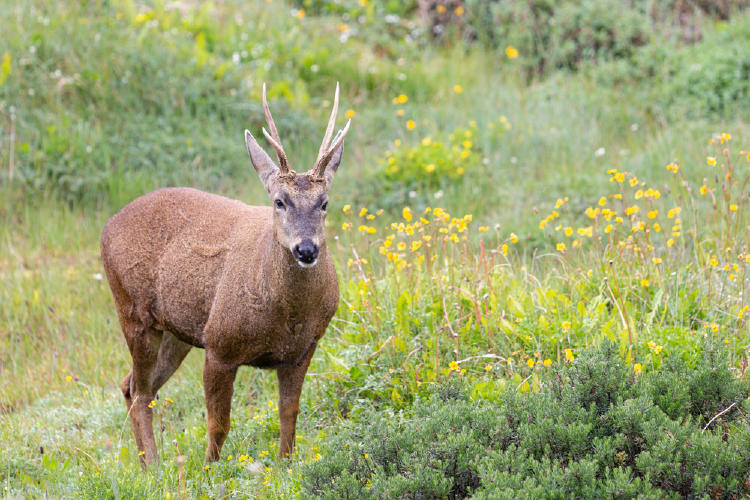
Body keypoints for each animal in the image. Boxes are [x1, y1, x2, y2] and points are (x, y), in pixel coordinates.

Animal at [100, 83, 352, 464]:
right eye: (279, 201)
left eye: (324, 203)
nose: (306, 249)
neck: (287, 315)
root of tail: (106, 227)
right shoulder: (219, 345)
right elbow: (218, 424)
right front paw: (209, 469)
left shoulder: (302, 350)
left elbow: (289, 415)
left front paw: (285, 466)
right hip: (133, 313)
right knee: (142, 393)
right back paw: (155, 467)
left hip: (176, 330)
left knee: (131, 386)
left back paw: (145, 465)